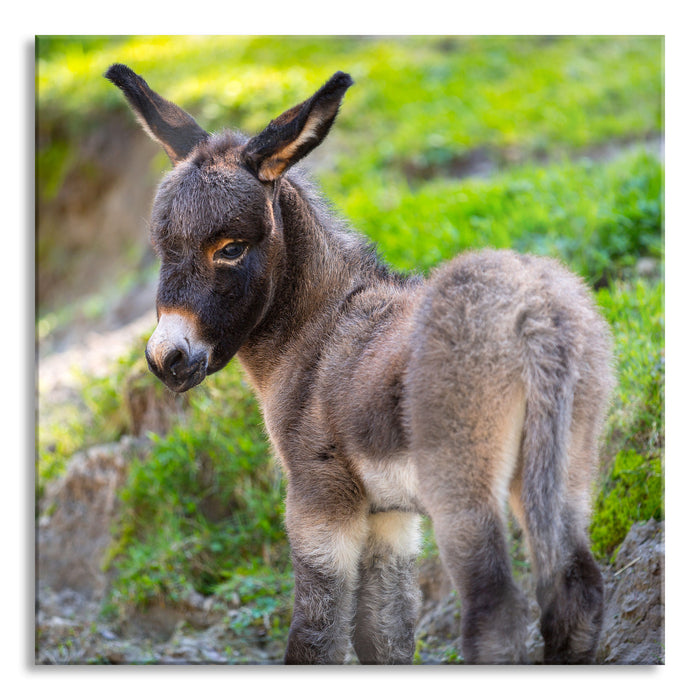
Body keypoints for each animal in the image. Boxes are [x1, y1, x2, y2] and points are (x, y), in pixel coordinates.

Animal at [106, 63, 616, 664]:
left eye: (229, 248)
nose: (167, 358)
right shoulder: (391, 517)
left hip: (463, 487)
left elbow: (316, 635)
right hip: (564, 467)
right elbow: (384, 635)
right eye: (162, 247)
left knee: (495, 612)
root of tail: (536, 311)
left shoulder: (319, 500)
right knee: (577, 591)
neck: (317, 331)